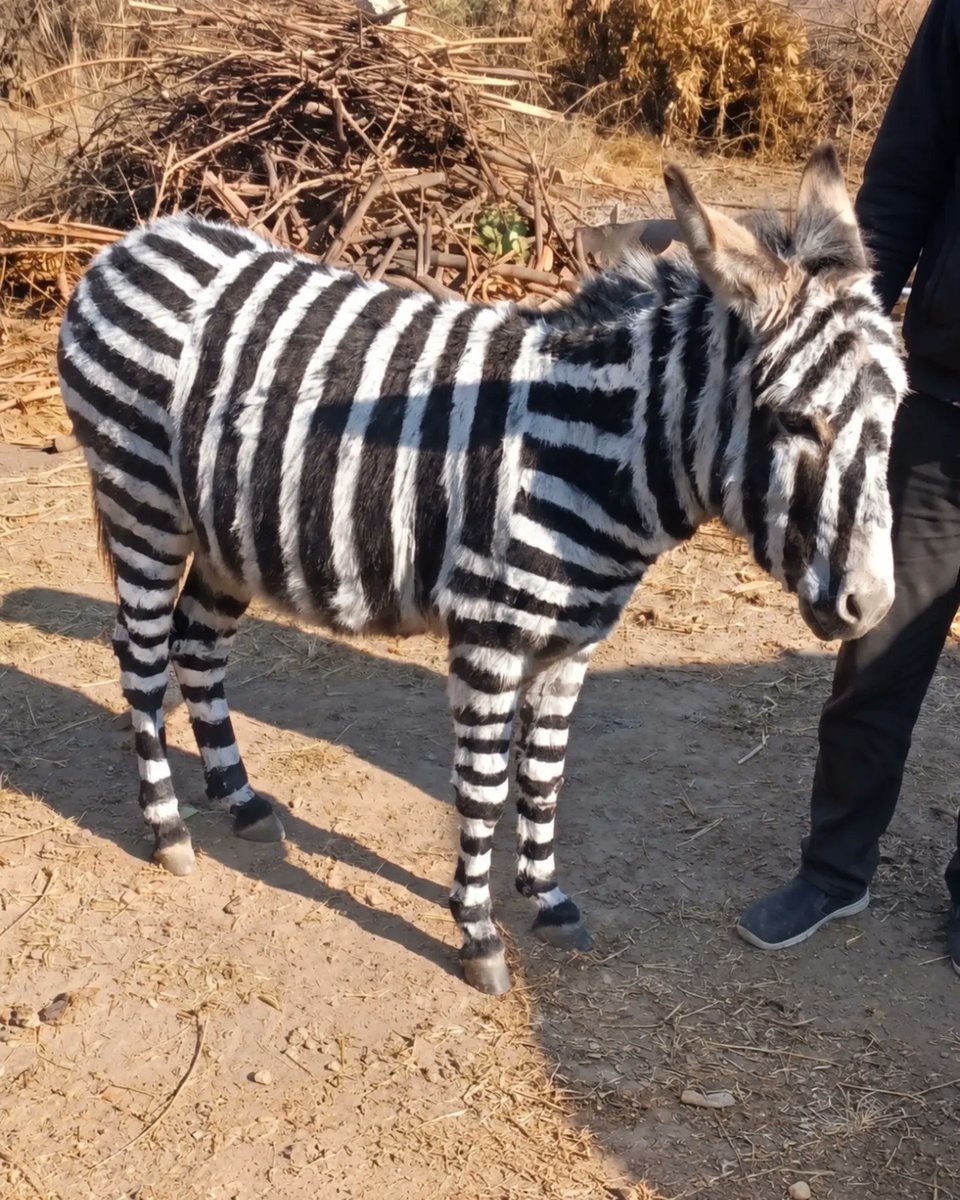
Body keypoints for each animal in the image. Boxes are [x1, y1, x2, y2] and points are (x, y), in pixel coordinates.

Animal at [58, 144, 906, 995]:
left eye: (895, 416)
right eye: (795, 420)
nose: (872, 605)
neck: (599, 448)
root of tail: (137, 239)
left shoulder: (574, 643)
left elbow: (546, 775)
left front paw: (549, 901)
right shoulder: (490, 635)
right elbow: (485, 786)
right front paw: (478, 933)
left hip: (226, 533)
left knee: (198, 649)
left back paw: (239, 800)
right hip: (143, 503)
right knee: (141, 658)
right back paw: (168, 829)